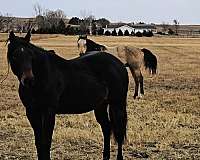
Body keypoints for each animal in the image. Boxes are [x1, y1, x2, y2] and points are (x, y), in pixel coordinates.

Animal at [6, 31, 128, 160]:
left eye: (31, 56)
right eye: (14, 56)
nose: (29, 80)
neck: (42, 77)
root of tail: (119, 63)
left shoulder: (49, 112)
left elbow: (46, 142)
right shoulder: (32, 112)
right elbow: (39, 142)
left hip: (118, 104)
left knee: (119, 132)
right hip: (100, 106)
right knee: (106, 128)